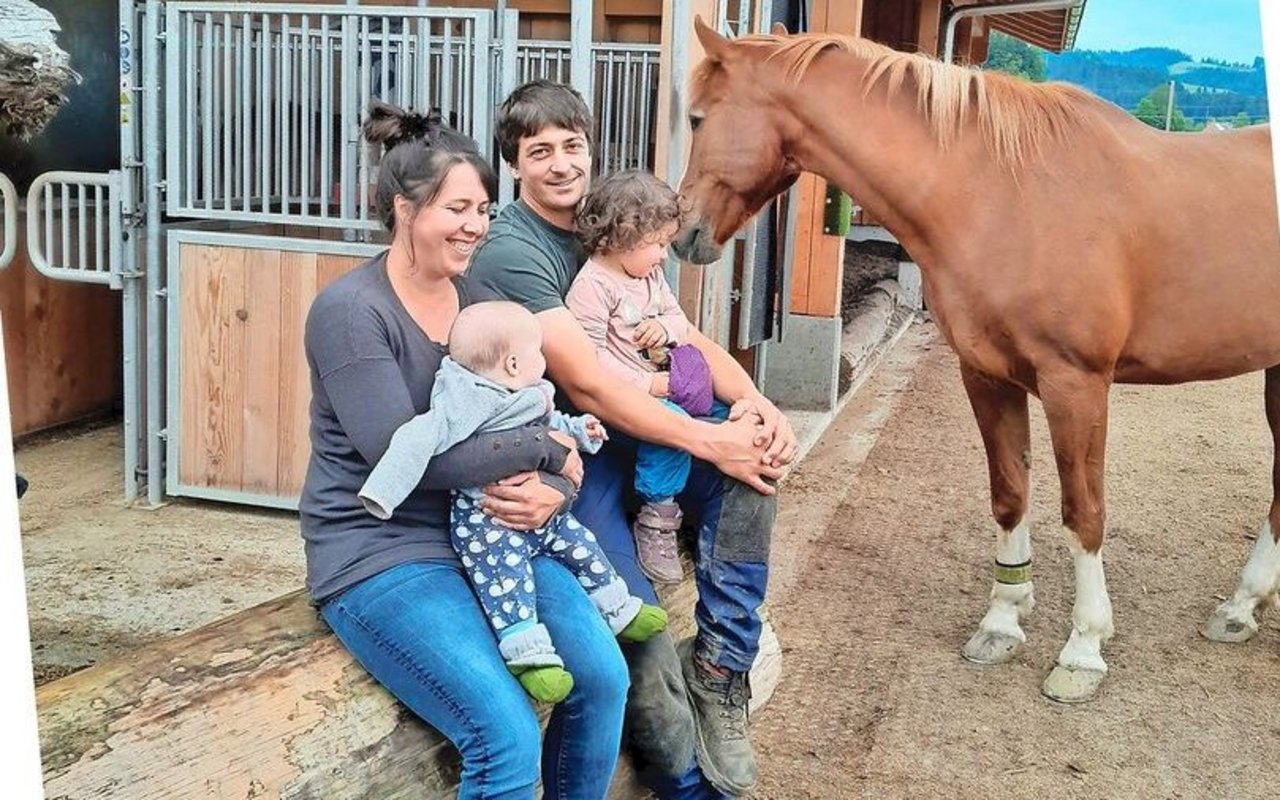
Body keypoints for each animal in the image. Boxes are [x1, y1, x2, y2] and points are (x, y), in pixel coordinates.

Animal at [670, 17, 1280, 696]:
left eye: (696, 118)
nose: (682, 232)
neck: (1003, 192)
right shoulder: (987, 375)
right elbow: (1009, 492)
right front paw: (1003, 620)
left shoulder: (1077, 385)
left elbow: (1084, 512)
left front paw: (1084, 648)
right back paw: (1240, 607)